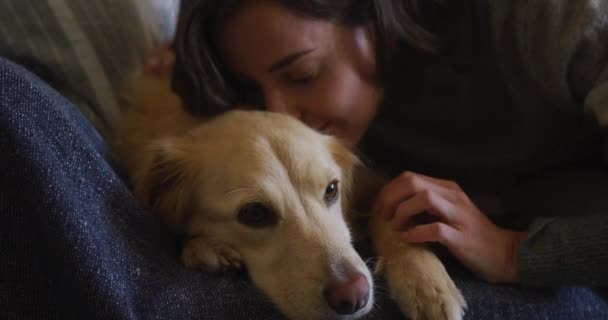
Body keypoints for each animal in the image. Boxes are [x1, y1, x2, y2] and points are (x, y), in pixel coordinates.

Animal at [114, 74, 466, 318]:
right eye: (254, 214)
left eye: (332, 190)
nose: (354, 295)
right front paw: (204, 248)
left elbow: (393, 218)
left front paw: (426, 284)